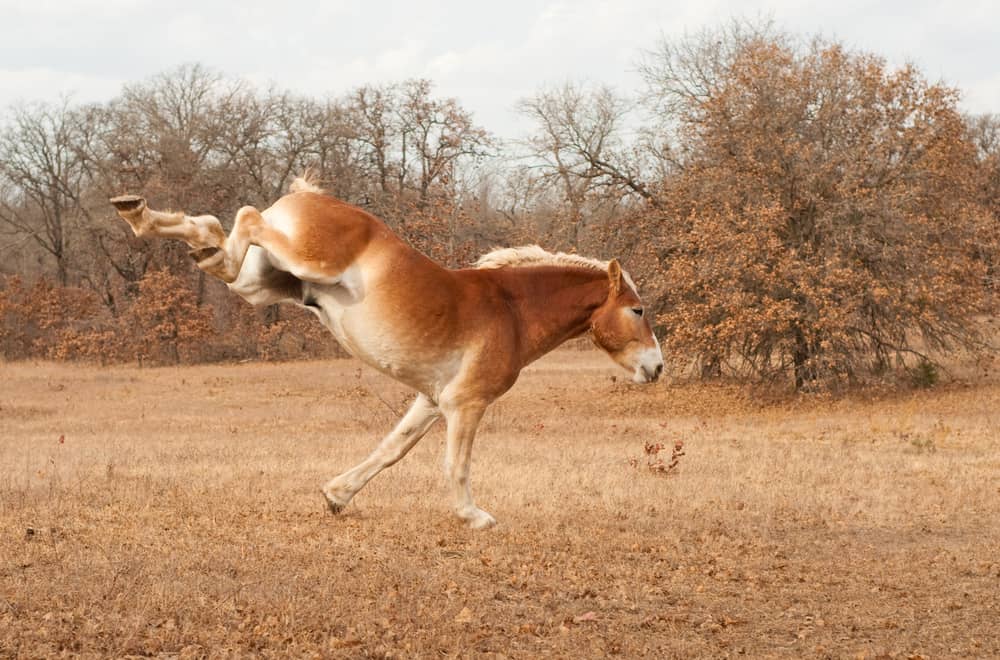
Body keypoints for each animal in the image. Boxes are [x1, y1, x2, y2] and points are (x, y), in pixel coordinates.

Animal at [109, 176, 664, 529]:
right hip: (302, 263)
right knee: (241, 220)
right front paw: (475, 517)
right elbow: (456, 464)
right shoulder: (465, 404)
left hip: (260, 284)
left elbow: (392, 449)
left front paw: (337, 497)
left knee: (213, 240)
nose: (656, 368)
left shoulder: (432, 400)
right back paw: (139, 212)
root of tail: (306, 197)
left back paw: (140, 212)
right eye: (637, 310)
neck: (511, 308)